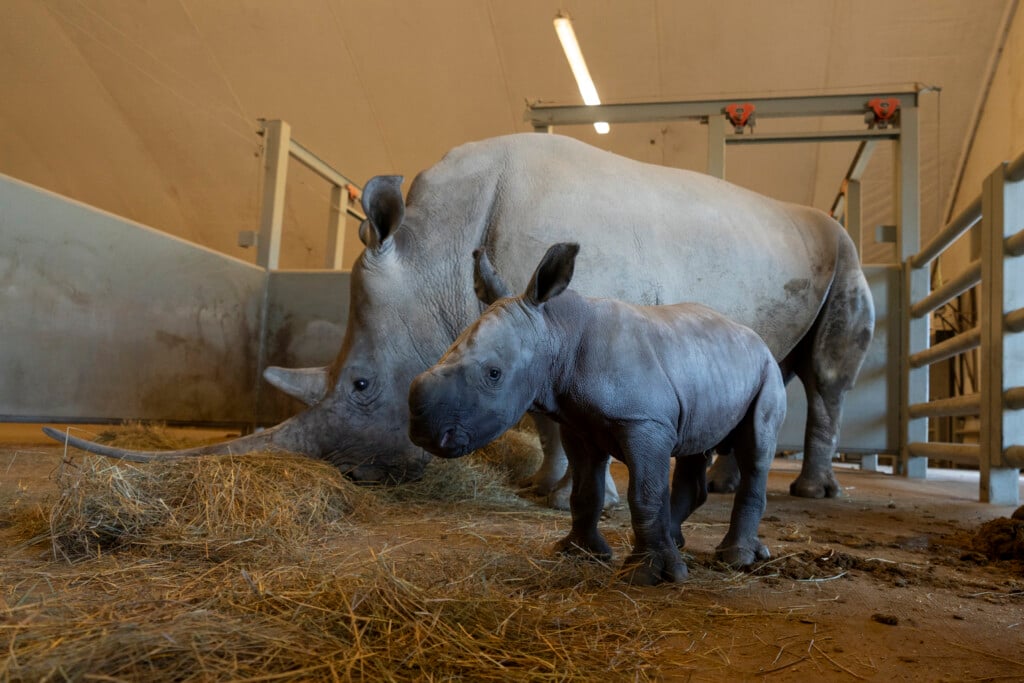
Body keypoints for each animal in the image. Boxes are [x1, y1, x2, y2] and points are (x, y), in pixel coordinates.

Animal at [44, 133, 874, 505]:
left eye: (362, 386)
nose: (349, 470)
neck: (434, 252)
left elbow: (573, 415)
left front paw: (580, 501)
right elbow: (543, 416)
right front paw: (545, 487)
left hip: (846, 249)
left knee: (827, 373)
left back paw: (811, 494)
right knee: (772, 361)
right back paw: (732, 486)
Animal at [409, 243, 786, 585]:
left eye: (493, 374)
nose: (424, 433)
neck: (557, 331)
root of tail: (755, 338)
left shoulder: (644, 422)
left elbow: (644, 495)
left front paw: (649, 575)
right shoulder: (577, 423)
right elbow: (586, 491)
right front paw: (579, 552)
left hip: (768, 371)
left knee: (756, 450)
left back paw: (735, 558)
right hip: (708, 365)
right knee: (695, 446)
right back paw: (676, 541)